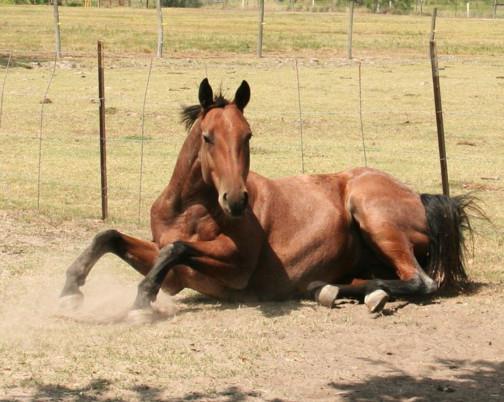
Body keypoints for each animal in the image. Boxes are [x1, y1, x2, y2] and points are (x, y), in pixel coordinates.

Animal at [60, 80, 476, 322]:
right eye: (208, 137)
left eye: (248, 135)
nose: (236, 200)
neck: (187, 209)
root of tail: (419, 196)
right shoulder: (175, 272)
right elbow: (110, 237)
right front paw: (70, 291)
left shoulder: (237, 267)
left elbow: (176, 249)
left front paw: (141, 301)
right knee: (375, 279)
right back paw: (332, 290)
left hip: (371, 212)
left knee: (420, 281)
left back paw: (363, 293)